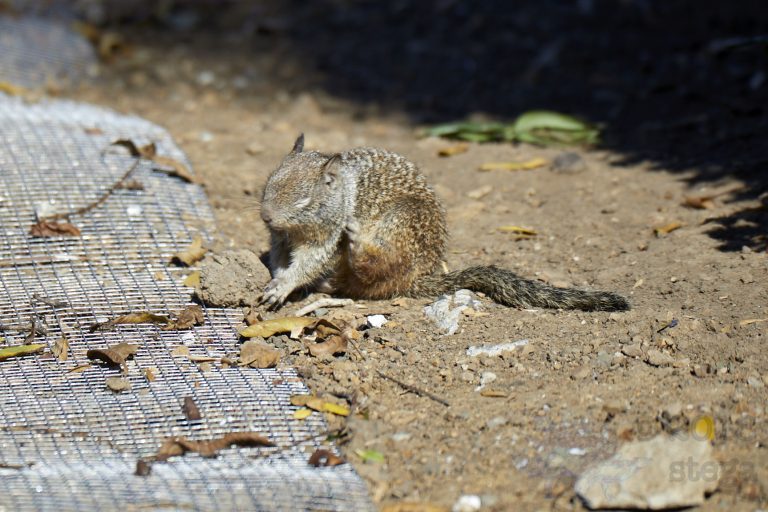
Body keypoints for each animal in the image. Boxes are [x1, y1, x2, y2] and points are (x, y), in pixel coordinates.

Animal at [258, 134, 629, 312]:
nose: (266, 216)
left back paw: (358, 246)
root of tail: (421, 277)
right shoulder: (279, 239)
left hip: (402, 223)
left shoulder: (327, 239)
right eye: (268, 183)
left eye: (304, 200)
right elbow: (278, 257)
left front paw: (284, 285)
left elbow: (309, 263)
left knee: (374, 272)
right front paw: (275, 275)